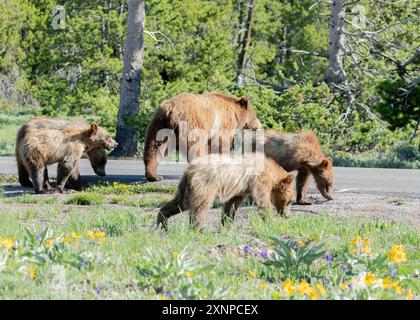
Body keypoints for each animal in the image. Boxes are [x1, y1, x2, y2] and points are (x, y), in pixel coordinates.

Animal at [156, 154, 294, 231]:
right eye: (290, 201)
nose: (287, 216)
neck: (272, 174)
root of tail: (189, 170)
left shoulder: (240, 190)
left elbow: (231, 205)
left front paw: (226, 223)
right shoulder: (258, 180)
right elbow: (262, 200)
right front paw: (272, 222)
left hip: (186, 189)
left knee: (178, 203)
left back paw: (162, 223)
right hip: (205, 185)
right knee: (200, 207)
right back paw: (196, 229)